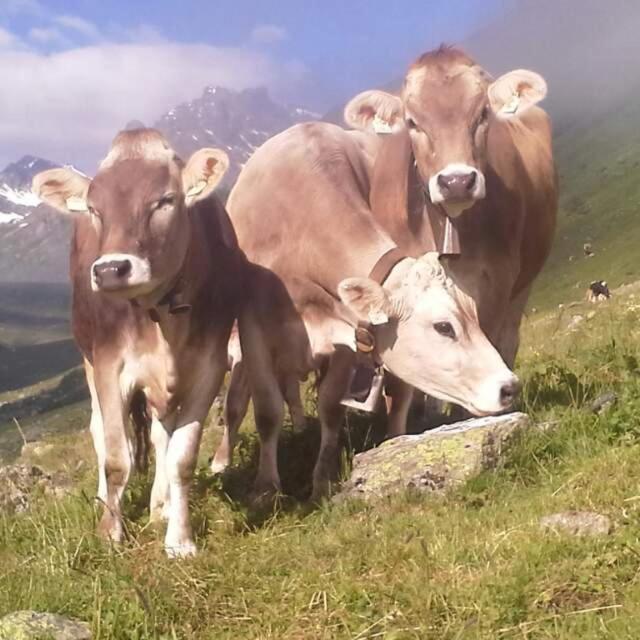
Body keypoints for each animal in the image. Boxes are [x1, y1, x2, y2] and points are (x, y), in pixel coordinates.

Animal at [33, 129, 246, 556]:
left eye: (164, 200)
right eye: (95, 209)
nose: (111, 269)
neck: (161, 314)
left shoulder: (210, 366)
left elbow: (181, 457)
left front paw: (179, 539)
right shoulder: (110, 364)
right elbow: (118, 458)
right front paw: (109, 533)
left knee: (161, 434)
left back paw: (160, 506)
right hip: (89, 358)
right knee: (101, 432)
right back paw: (106, 502)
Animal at [342, 47, 556, 432]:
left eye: (483, 113)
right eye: (412, 121)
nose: (456, 181)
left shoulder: (497, 280)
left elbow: (485, 342)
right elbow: (402, 381)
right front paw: (398, 434)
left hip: (524, 282)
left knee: (508, 339)